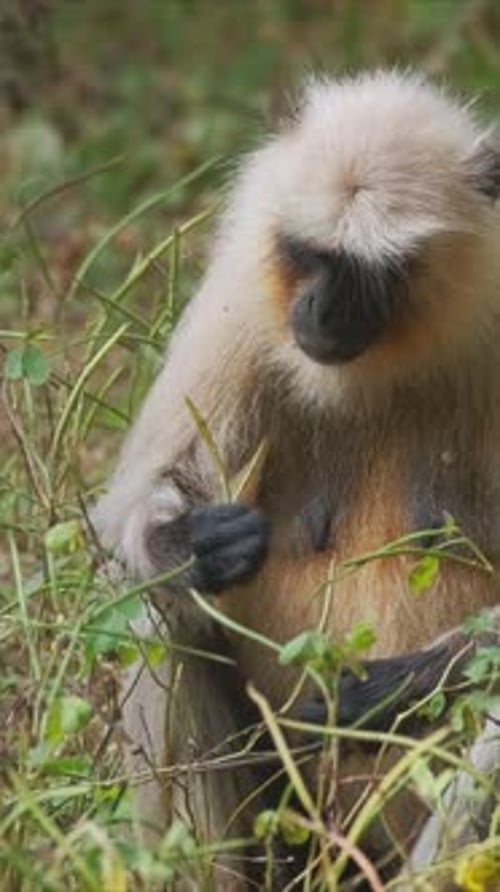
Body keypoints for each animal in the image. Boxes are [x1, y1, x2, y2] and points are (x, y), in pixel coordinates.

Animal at [93, 69, 500, 889]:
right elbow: (136, 511)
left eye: (375, 272)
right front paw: (197, 546)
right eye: (309, 254)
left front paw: (387, 692)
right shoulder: (244, 308)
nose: (322, 310)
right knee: (154, 609)